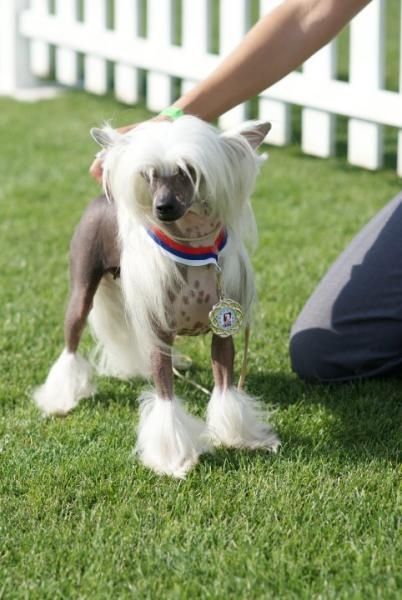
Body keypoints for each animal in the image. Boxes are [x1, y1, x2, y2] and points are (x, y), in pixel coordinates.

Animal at [33, 115, 280, 476]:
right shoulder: (160, 333)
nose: (162, 207)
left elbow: (225, 387)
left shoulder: (223, 333)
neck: (193, 247)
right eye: (149, 175)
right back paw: (61, 398)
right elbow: (165, 397)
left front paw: (239, 437)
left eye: (188, 171)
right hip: (82, 290)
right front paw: (174, 458)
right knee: (71, 341)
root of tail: (103, 198)